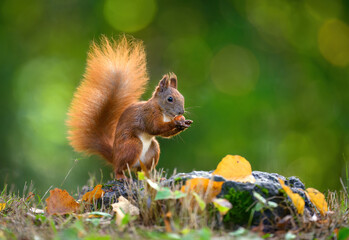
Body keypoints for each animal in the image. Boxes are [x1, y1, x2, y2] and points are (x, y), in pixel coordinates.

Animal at [66, 35, 192, 178]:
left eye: (182, 97)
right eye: (170, 99)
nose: (181, 112)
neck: (163, 112)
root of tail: (114, 156)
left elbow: (165, 134)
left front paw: (184, 123)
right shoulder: (148, 114)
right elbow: (155, 127)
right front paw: (177, 122)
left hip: (153, 150)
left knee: (140, 170)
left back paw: (149, 176)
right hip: (131, 146)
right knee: (119, 168)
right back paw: (122, 177)